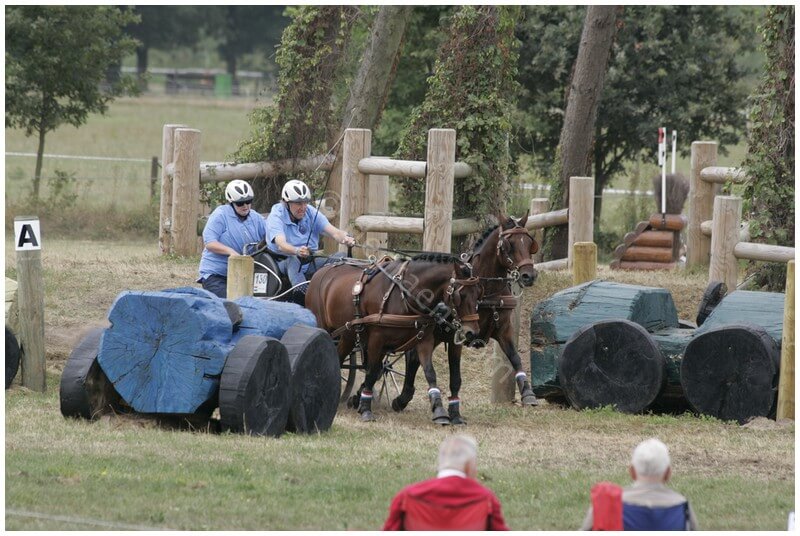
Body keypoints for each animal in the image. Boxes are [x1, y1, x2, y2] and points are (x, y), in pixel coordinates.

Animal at [305, 254, 482, 424]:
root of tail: (320, 273)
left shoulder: (424, 340)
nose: (472, 333)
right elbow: (371, 372)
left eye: (478, 294)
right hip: (324, 328)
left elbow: (430, 372)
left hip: (349, 335)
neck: (405, 295)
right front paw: (366, 409)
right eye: (461, 295)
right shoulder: (376, 339)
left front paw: (439, 410)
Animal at [392, 213, 539, 423]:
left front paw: (528, 393)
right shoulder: (458, 337)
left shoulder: (503, 330)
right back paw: (402, 398)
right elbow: (453, 376)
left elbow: (515, 358)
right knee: (413, 358)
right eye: (508, 244)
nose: (529, 276)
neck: (487, 290)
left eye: (529, 242)